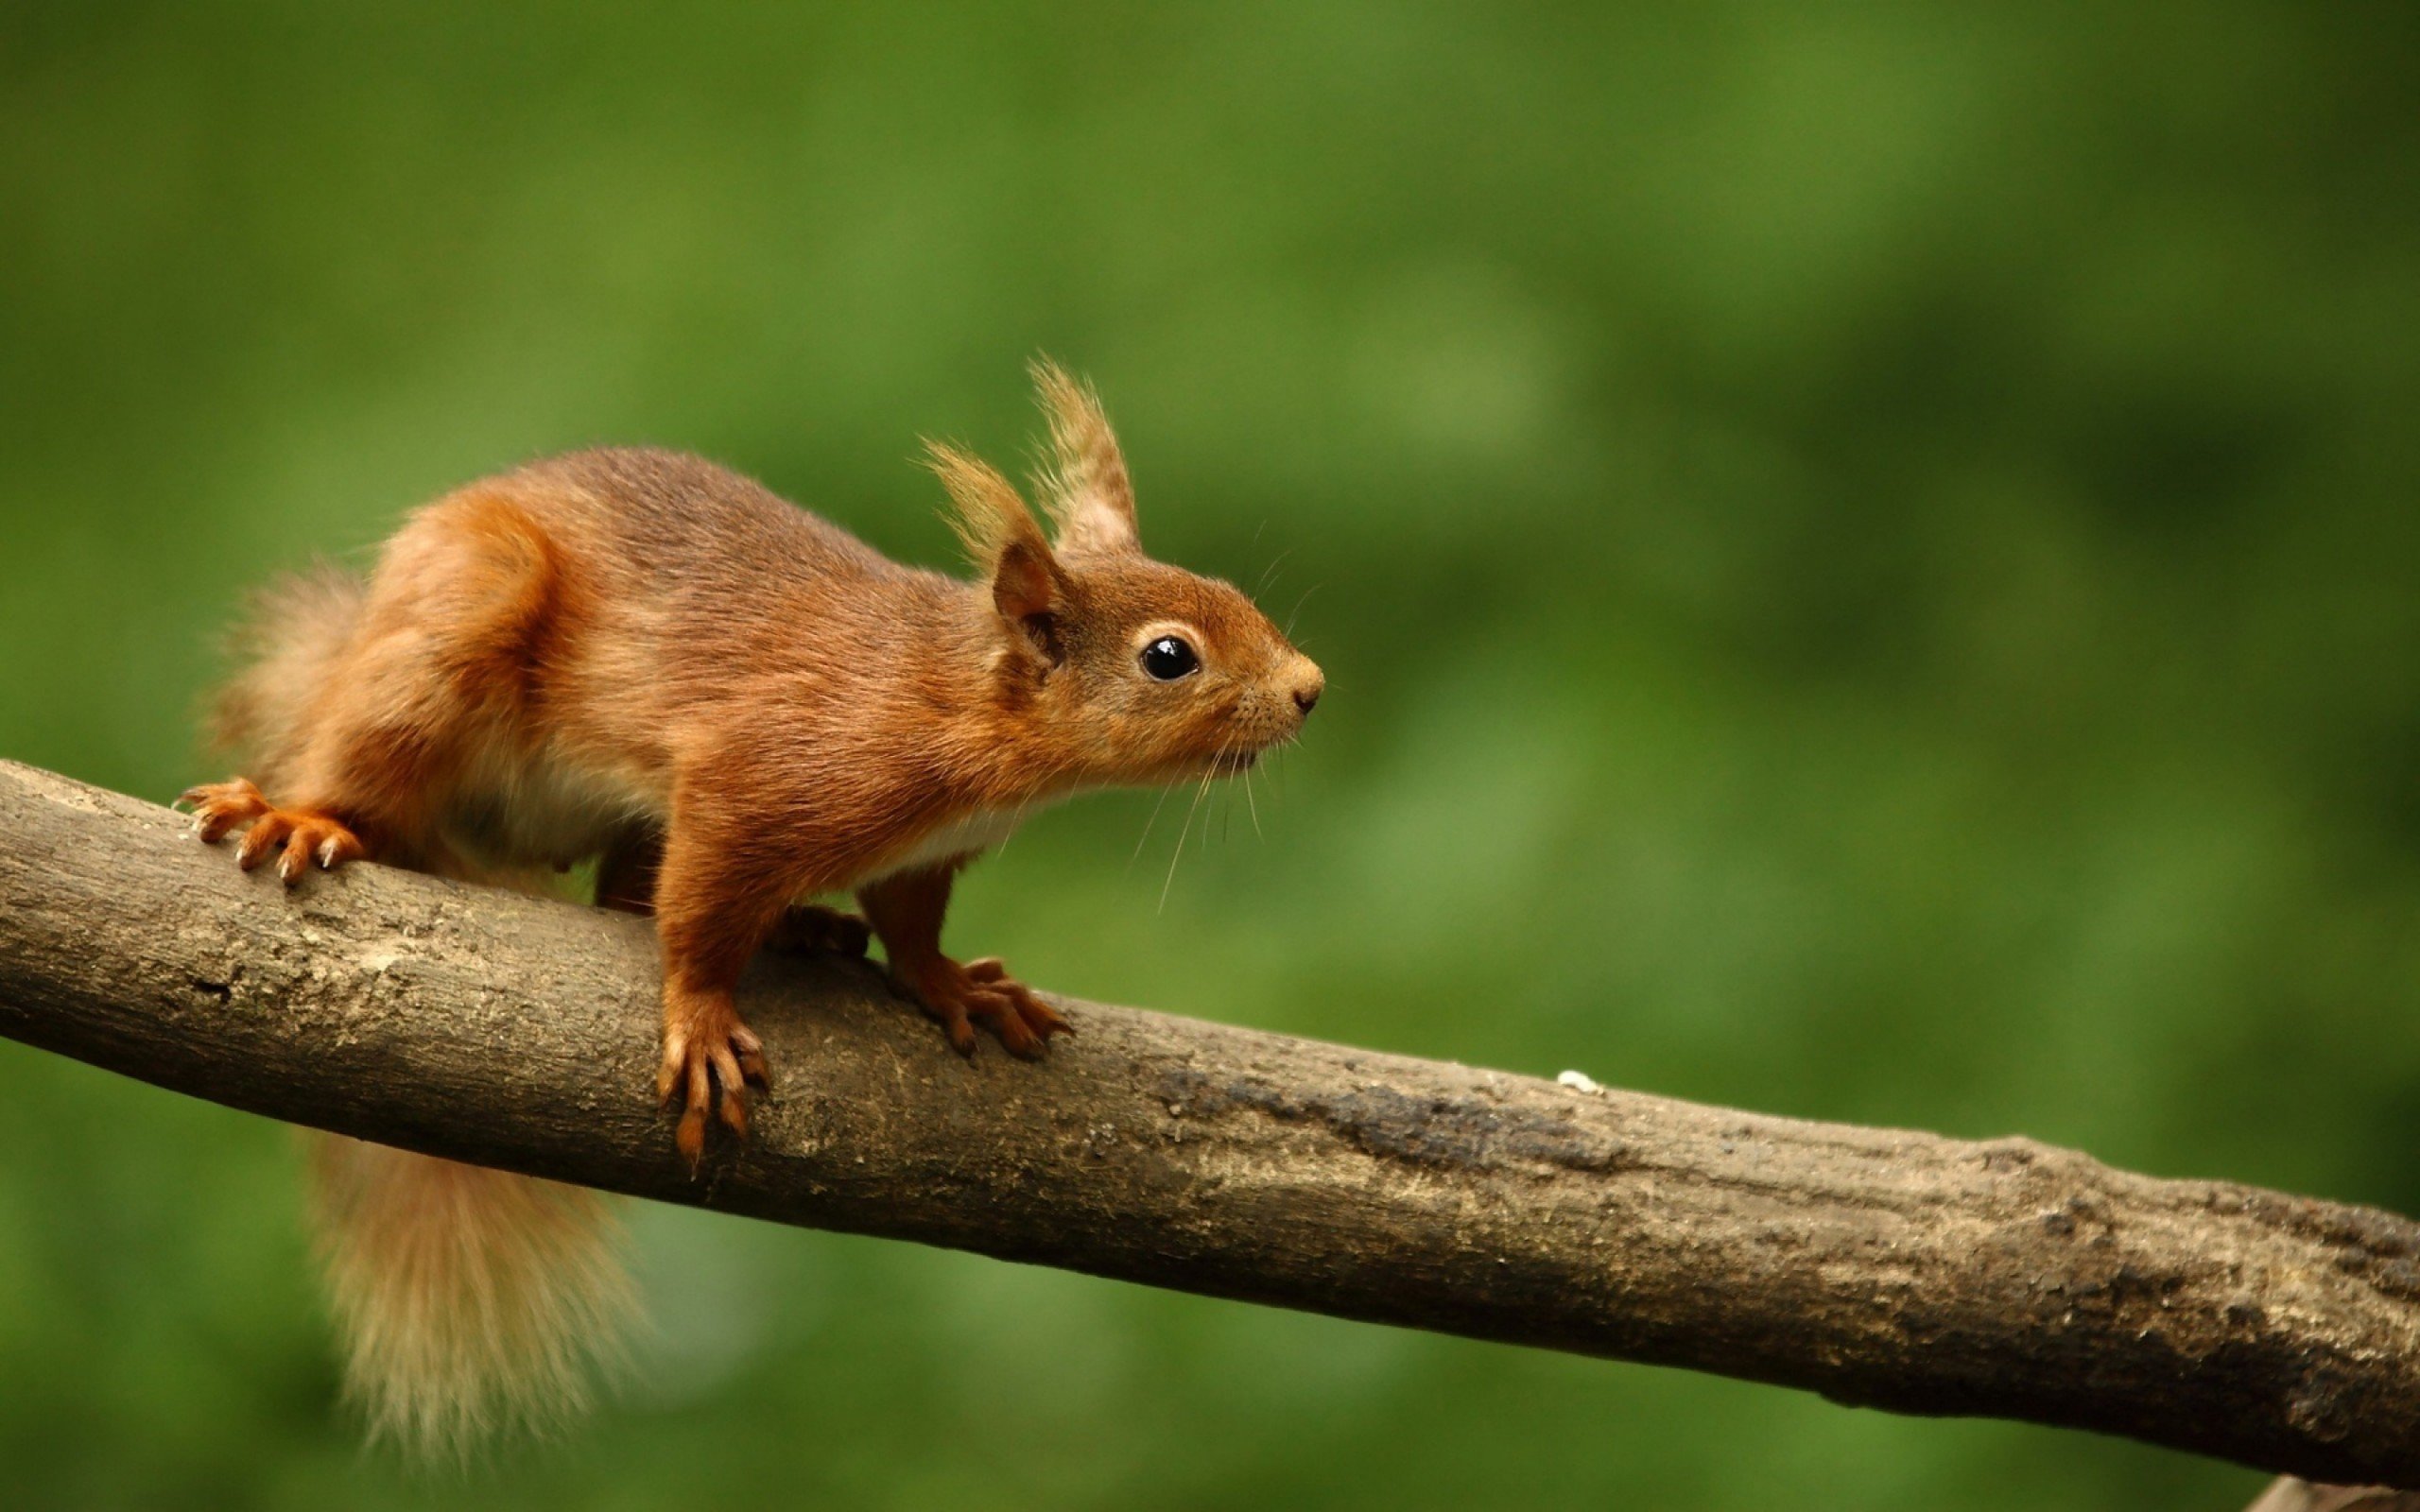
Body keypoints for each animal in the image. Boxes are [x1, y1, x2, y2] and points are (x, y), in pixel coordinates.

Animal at [179, 360, 1325, 1441]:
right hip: (458, 624)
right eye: (1169, 656)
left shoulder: (923, 853)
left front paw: (953, 987)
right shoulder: (756, 781)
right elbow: (698, 914)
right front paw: (700, 1020)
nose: (1310, 687)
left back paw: (806, 928)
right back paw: (302, 815)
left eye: (1227, 589)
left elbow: (909, 927)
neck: (958, 706)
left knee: (620, 895)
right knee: (375, 761)